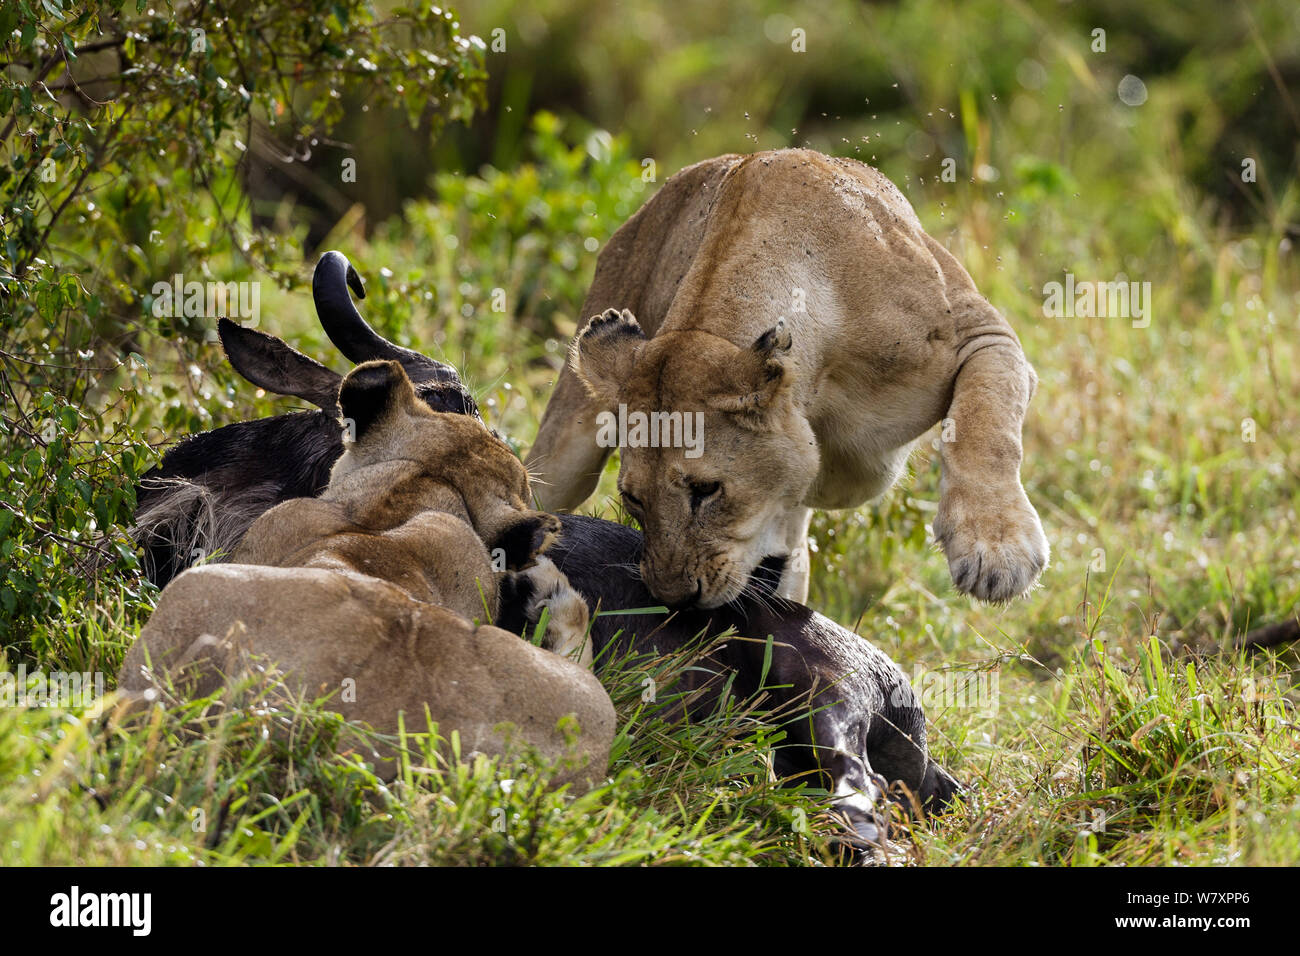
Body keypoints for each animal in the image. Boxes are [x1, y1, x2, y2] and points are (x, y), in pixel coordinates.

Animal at [526, 148, 1049, 609]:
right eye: (633, 498)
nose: (674, 599)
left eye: (706, 490)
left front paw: (996, 548)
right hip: (564, 452)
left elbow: (986, 423)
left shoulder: (984, 335)